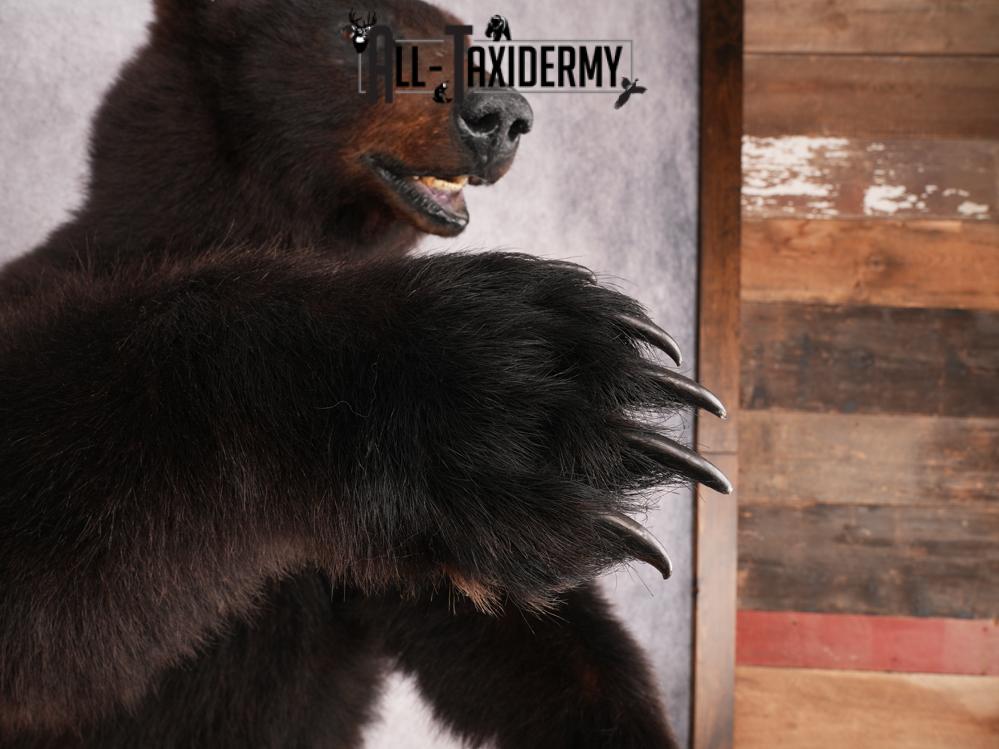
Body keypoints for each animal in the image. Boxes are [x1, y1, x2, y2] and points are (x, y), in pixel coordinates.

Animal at [0, 1, 731, 747]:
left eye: (464, 34)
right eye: (363, 31)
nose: (500, 113)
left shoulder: (379, 575)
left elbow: (529, 632)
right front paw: (493, 385)